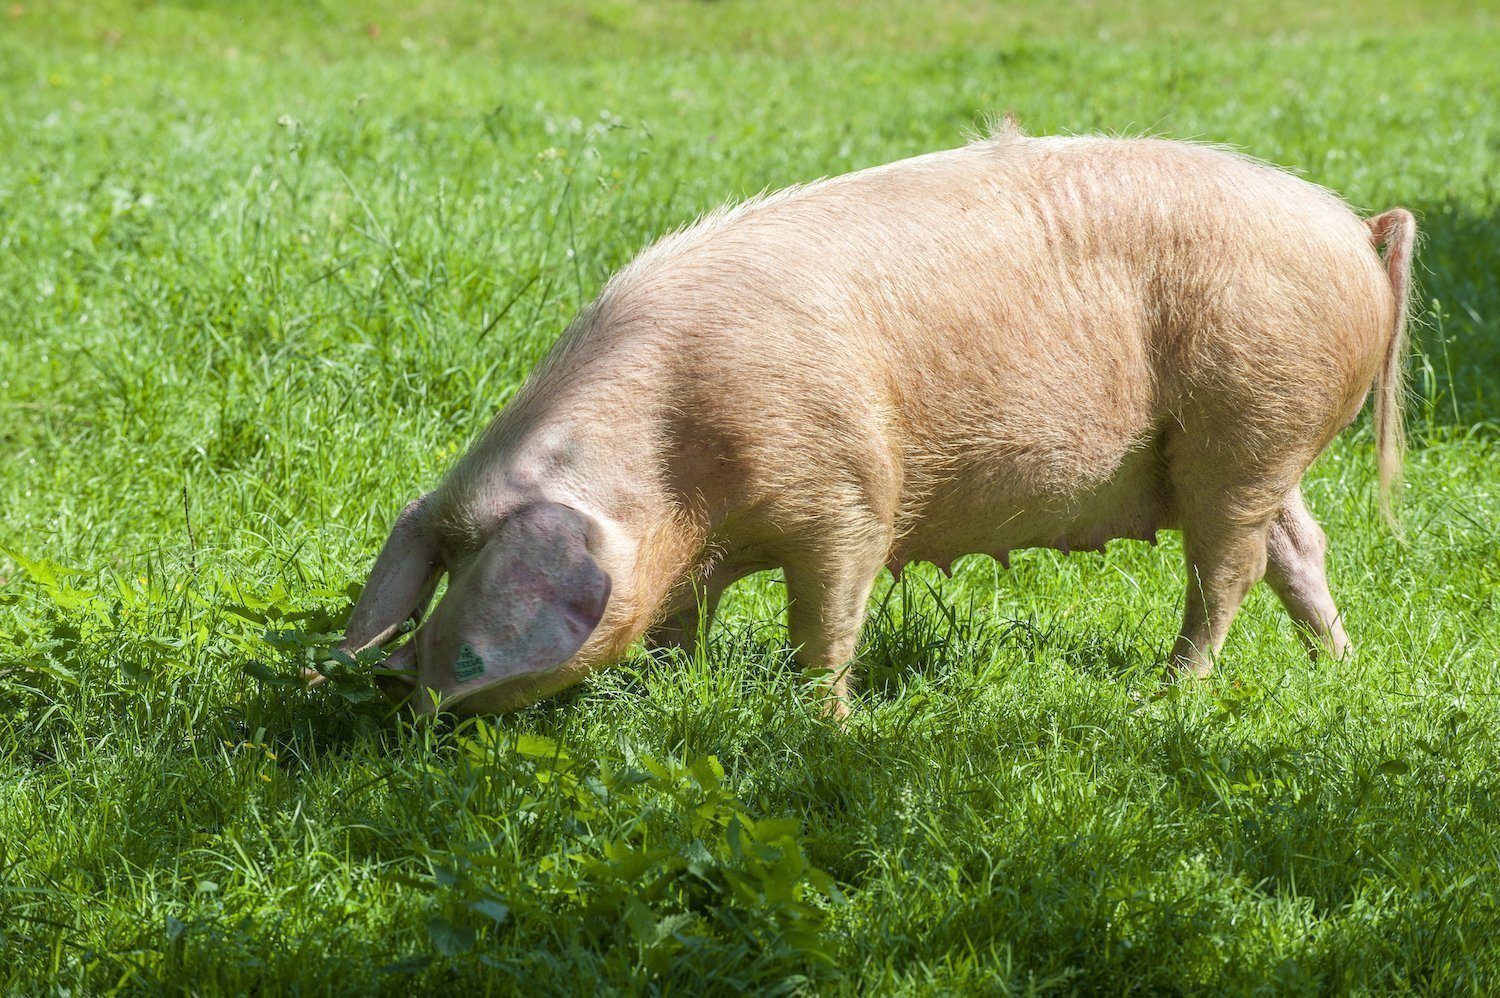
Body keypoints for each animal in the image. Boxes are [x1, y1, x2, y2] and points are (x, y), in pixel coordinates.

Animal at [319, 122, 1416, 717]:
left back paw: (1167, 690)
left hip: (1249, 418)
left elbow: (828, 619)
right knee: (1298, 546)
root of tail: (1353, 227)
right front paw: (674, 690)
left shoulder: (847, 491)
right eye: (444, 556)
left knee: (1227, 567)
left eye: (479, 558)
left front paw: (830, 726)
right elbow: (678, 625)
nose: (399, 681)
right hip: (1253, 445)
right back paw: (1339, 668)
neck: (680, 473)